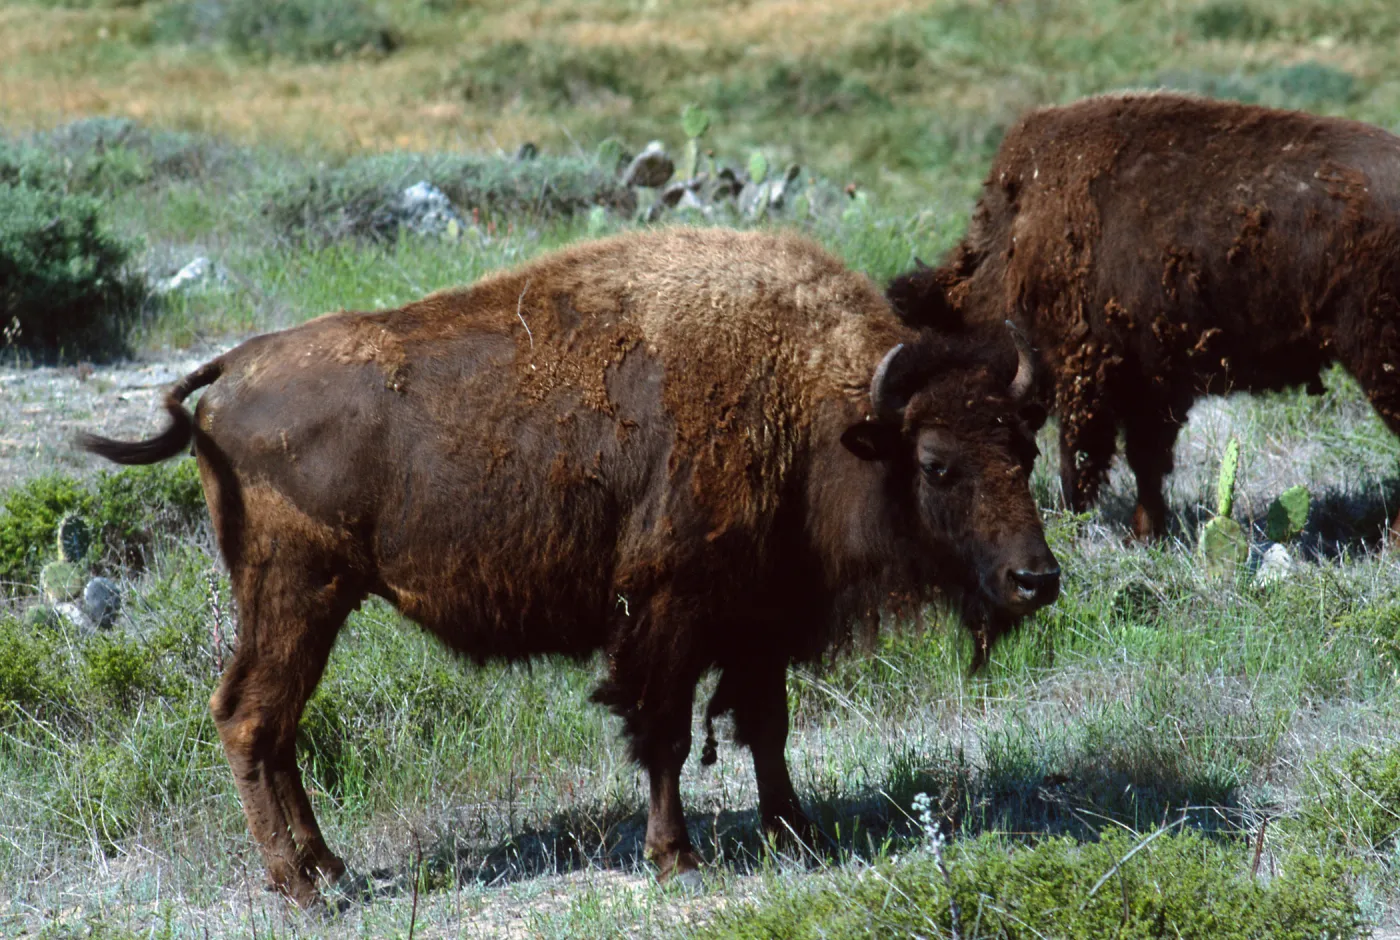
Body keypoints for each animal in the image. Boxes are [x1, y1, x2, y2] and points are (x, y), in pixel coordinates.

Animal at [79, 227, 1060, 907]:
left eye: (1025, 449)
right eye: (936, 464)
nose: (1036, 580)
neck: (815, 406)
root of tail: (230, 371)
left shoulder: (756, 622)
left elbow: (766, 727)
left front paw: (797, 832)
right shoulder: (670, 614)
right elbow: (665, 734)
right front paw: (678, 858)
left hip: (306, 603)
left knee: (275, 727)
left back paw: (332, 868)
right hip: (296, 593)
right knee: (250, 718)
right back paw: (304, 889)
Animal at [889, 92, 1400, 539]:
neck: (1012, 245)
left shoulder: (1087, 379)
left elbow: (1081, 462)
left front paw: (1078, 526)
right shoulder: (1152, 386)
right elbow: (1146, 463)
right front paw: (1146, 533)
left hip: (1377, 362)